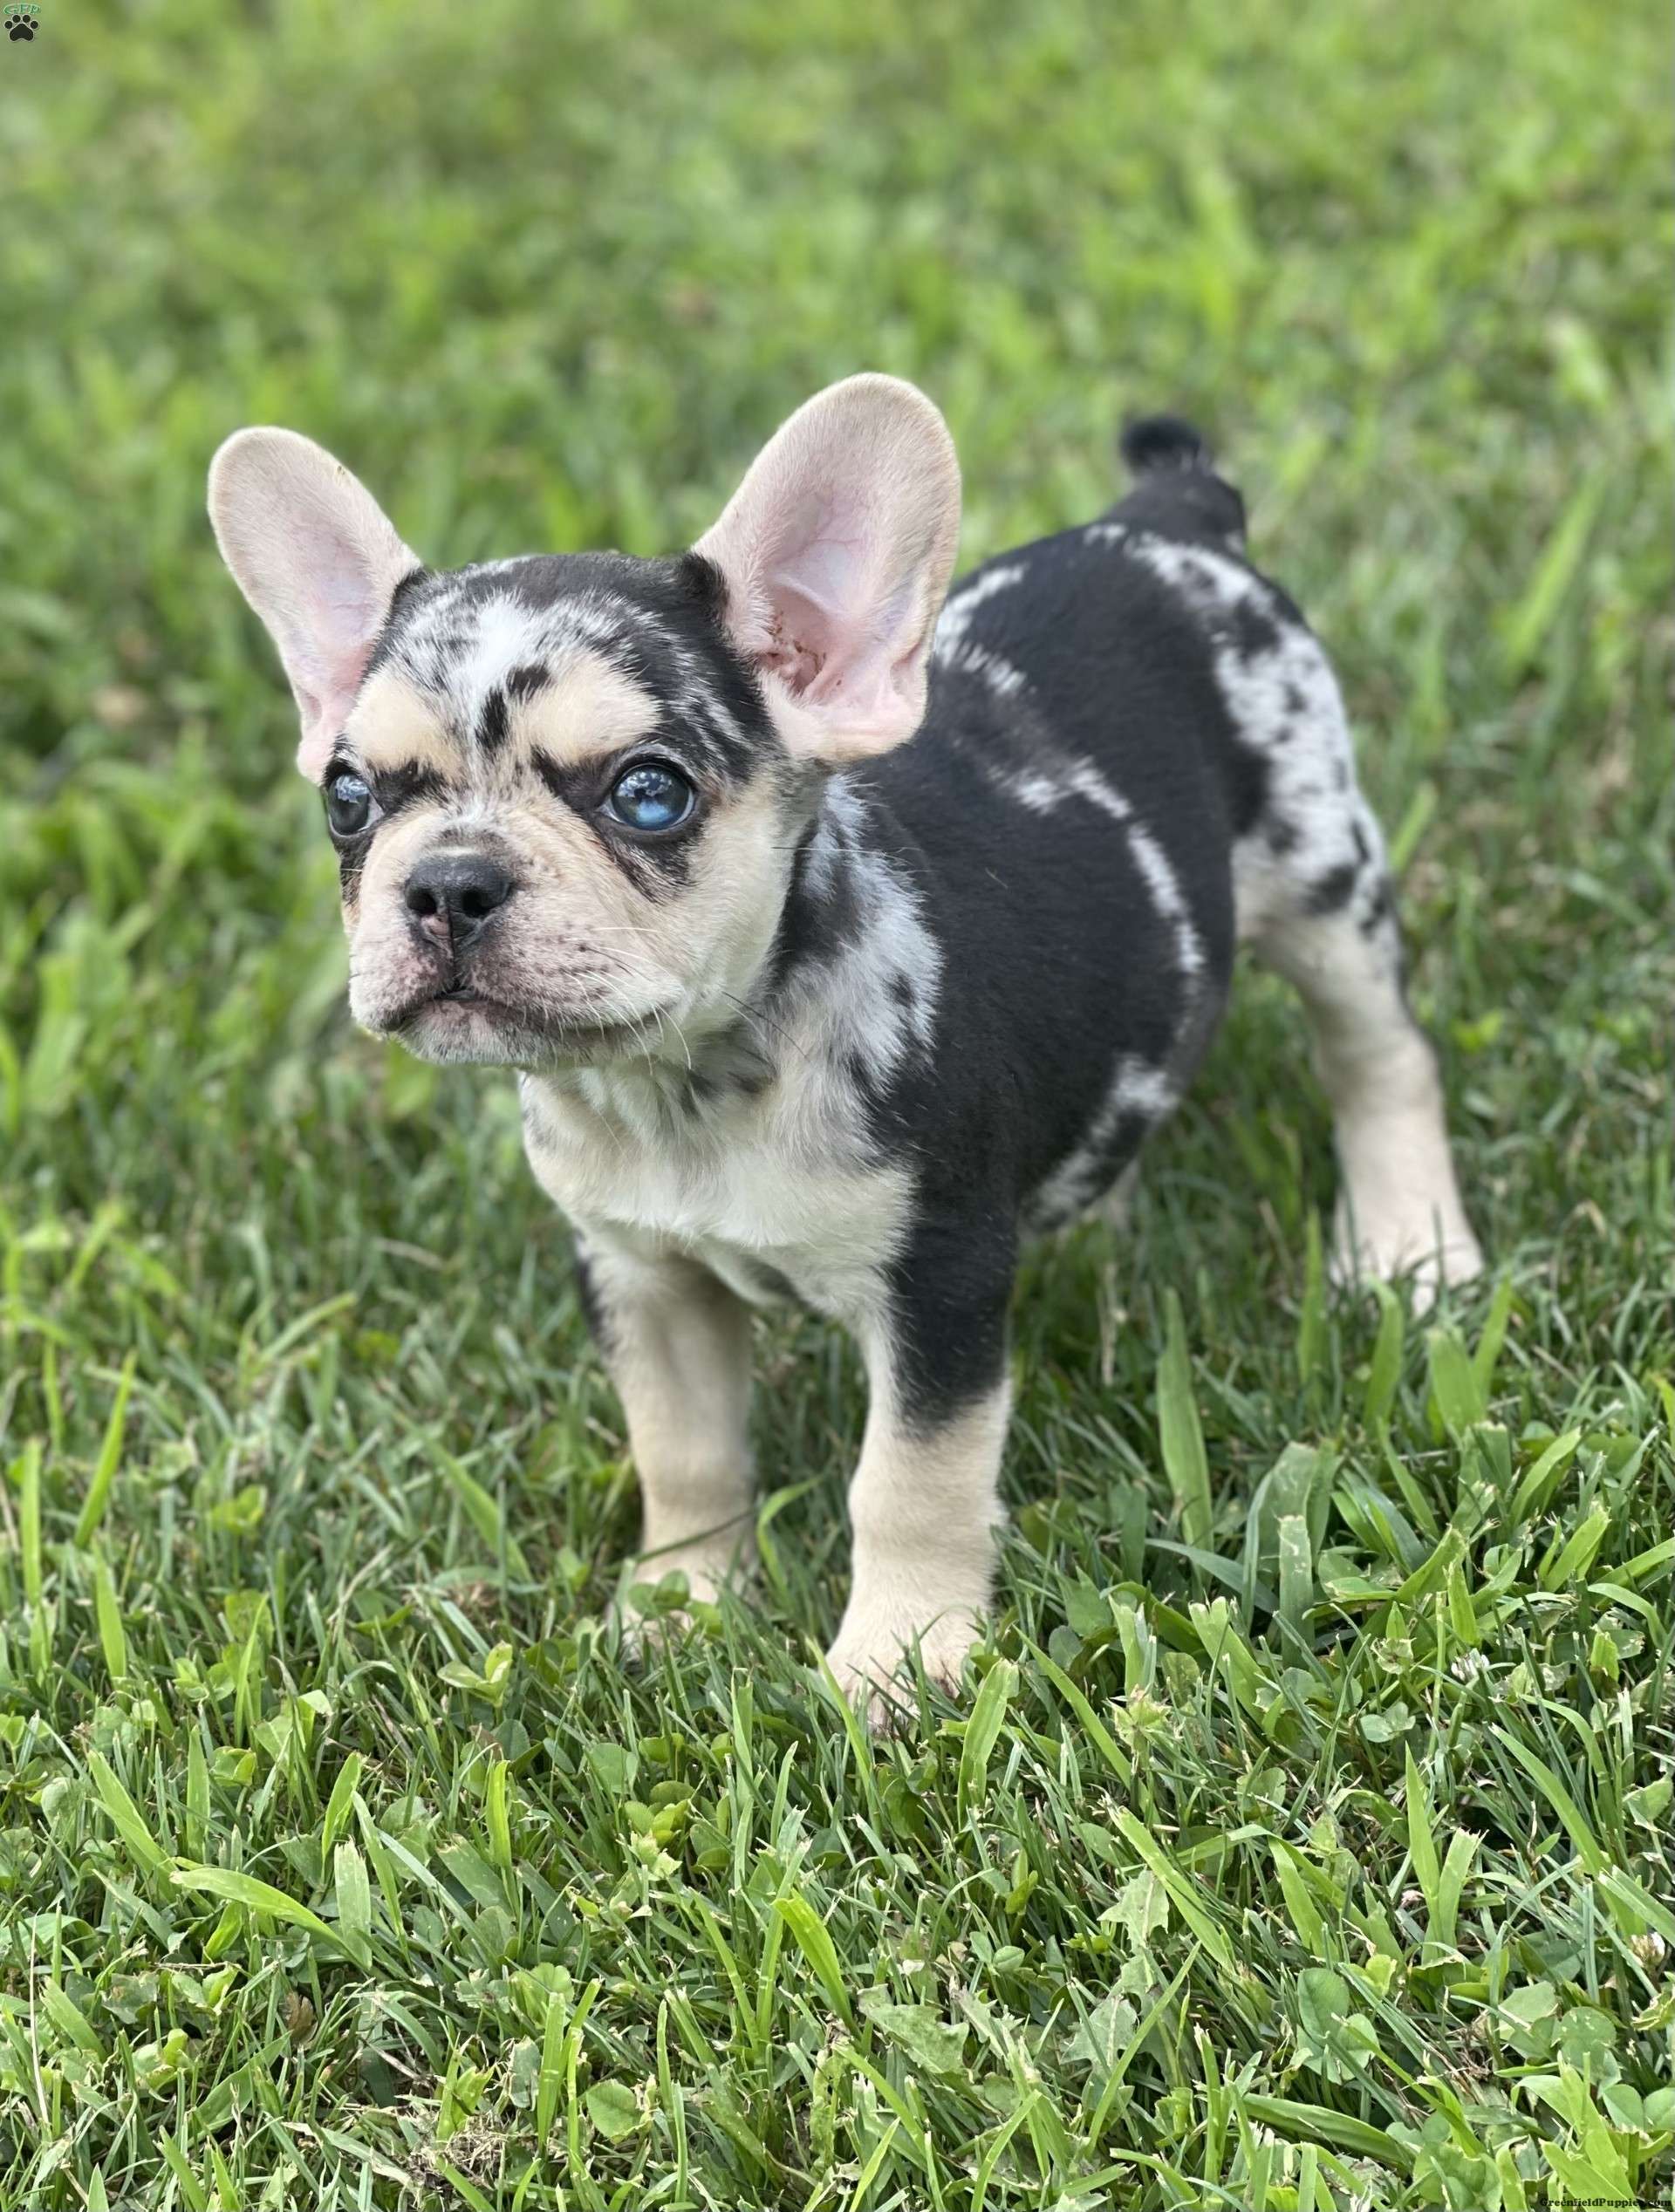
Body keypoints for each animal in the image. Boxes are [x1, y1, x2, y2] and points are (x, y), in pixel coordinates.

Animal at [209, 380, 1478, 1716]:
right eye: (349, 798)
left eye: (648, 793)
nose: (448, 883)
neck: (688, 1085)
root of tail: (1170, 518)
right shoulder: (640, 1274)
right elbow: (686, 1451)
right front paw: (675, 1610)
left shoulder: (938, 1282)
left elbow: (912, 1480)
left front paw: (899, 1663)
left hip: (1324, 879)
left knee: (1381, 1056)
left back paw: (1412, 1246)